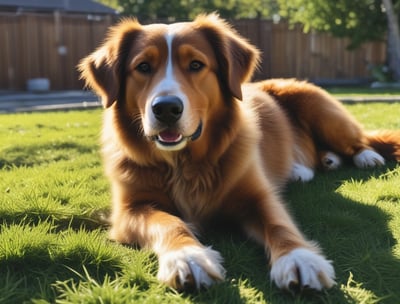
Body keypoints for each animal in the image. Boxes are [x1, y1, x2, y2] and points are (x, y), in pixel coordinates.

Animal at [79, 13, 400, 292]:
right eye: (143, 67)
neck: (185, 163)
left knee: (360, 140)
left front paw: (298, 258)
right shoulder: (130, 210)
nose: (166, 108)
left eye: (196, 65)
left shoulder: (258, 195)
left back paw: (365, 156)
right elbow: (168, 223)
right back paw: (312, 166)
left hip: (319, 109)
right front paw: (188, 256)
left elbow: (279, 223)